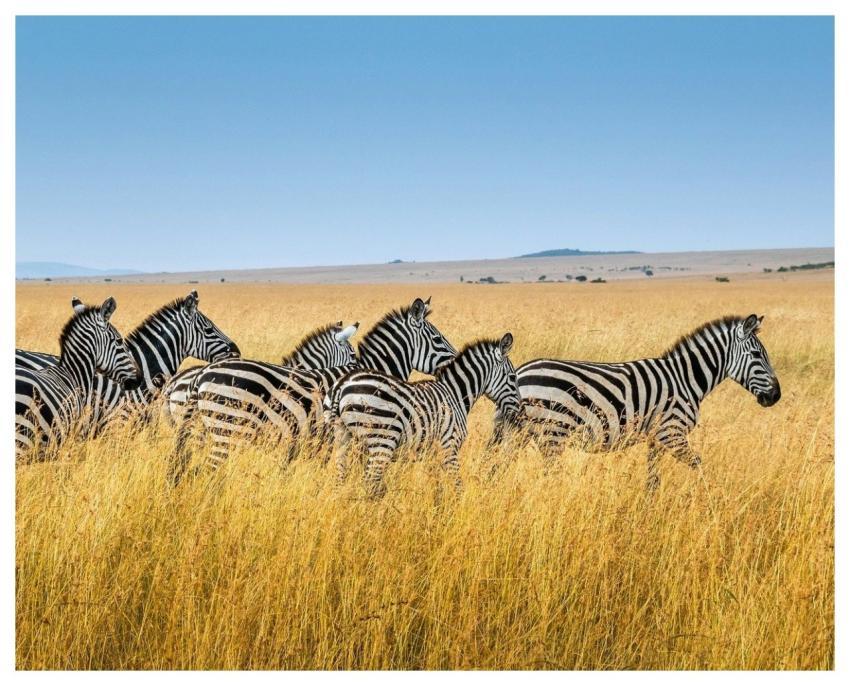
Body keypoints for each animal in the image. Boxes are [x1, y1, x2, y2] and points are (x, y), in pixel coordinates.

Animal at [329, 333, 520, 499]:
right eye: (512, 377)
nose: (519, 411)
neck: (455, 394)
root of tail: (342, 384)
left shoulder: (432, 452)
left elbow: (437, 485)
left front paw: (436, 507)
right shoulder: (449, 446)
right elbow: (457, 485)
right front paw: (456, 508)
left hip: (343, 438)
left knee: (340, 480)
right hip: (382, 440)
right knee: (369, 483)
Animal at [494, 314, 781, 490]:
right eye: (757, 355)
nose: (776, 396)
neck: (685, 378)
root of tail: (520, 372)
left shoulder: (656, 437)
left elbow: (653, 480)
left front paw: (648, 510)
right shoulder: (672, 432)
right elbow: (699, 466)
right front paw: (710, 501)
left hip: (519, 434)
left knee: (496, 468)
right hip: (553, 432)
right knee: (547, 476)